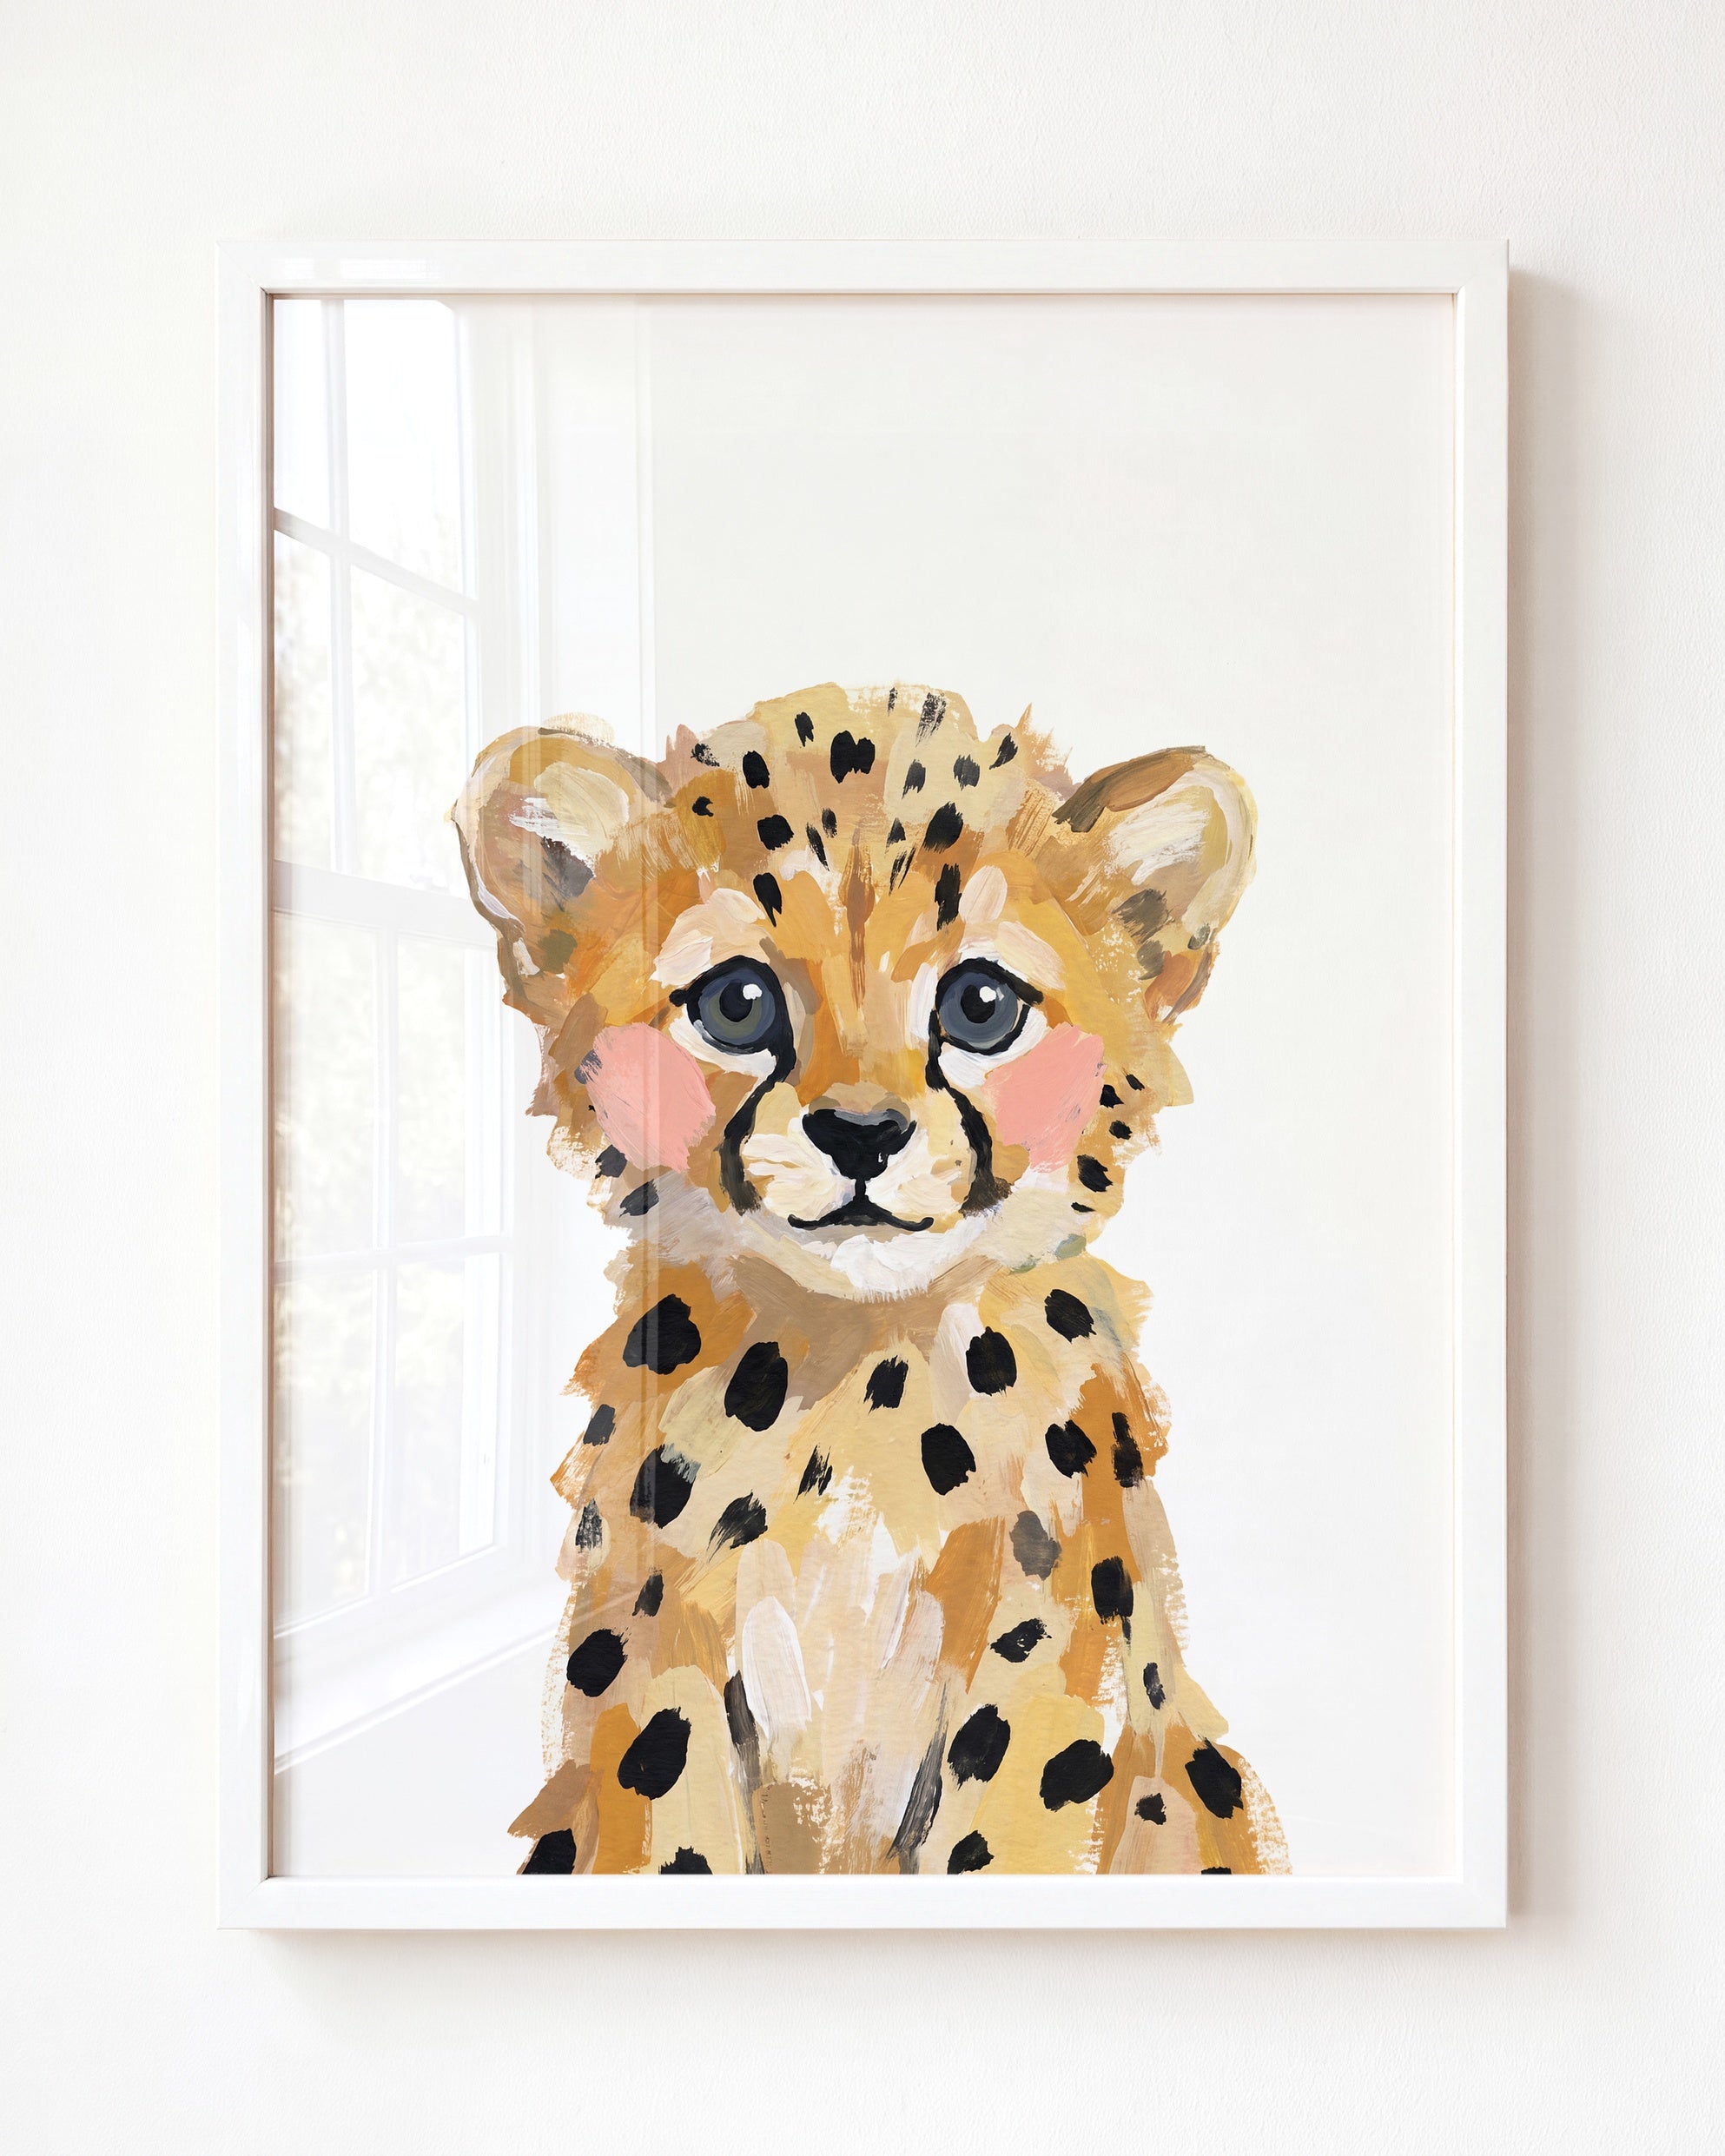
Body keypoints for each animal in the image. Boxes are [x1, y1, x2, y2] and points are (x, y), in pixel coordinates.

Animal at [453, 680, 1288, 1877]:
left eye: (981, 1005)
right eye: (737, 1003)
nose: (860, 1134)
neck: (859, 1379)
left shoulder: (1041, 1664)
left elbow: (1003, 1833)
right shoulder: (657, 1648)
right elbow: (672, 1824)